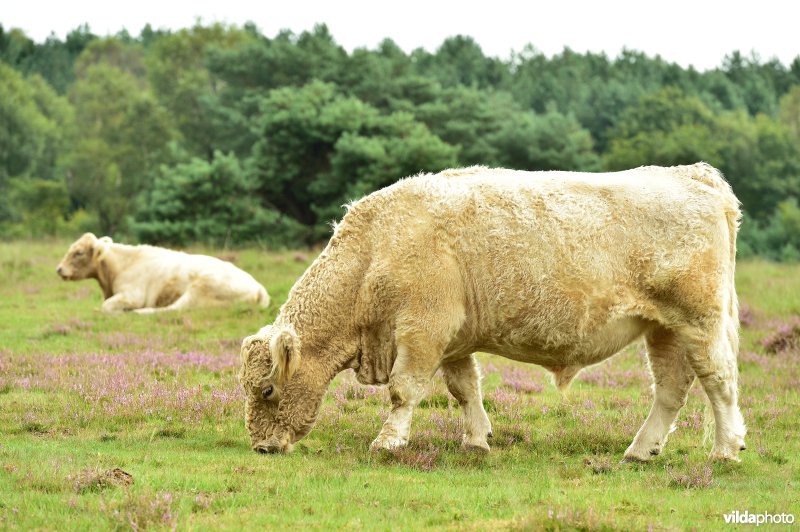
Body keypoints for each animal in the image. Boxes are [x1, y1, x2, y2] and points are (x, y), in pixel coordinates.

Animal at [56, 233, 270, 312]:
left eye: (78, 252)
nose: (59, 269)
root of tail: (258, 287)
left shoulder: (132, 295)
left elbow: (106, 307)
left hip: (201, 288)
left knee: (171, 309)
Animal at [236, 164, 744, 464]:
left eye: (267, 389)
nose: (261, 446)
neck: (374, 252)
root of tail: (694, 174)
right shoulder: (453, 339)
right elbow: (464, 389)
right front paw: (477, 440)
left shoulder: (422, 331)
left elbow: (404, 390)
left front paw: (388, 442)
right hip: (665, 329)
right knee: (671, 390)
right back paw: (640, 450)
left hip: (700, 323)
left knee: (719, 381)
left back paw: (725, 450)